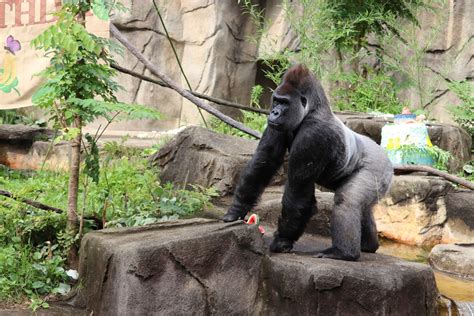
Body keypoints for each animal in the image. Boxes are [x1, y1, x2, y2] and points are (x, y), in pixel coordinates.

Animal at [223, 65, 392, 262]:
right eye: (276, 101)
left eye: (285, 103)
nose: (274, 113)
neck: (311, 111)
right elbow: (264, 162)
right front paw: (236, 210)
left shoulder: (313, 135)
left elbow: (297, 193)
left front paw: (282, 241)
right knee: (362, 207)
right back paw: (369, 244)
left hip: (378, 168)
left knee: (347, 201)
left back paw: (343, 253)